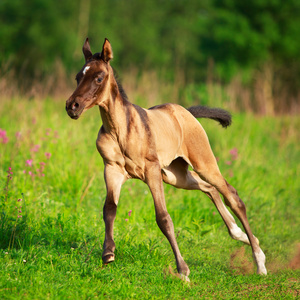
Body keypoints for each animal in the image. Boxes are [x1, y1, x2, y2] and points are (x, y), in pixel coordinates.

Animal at [66, 38, 268, 282]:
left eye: (98, 77)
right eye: (78, 77)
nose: (72, 106)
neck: (120, 130)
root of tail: (186, 112)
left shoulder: (151, 170)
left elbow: (163, 218)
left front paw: (183, 271)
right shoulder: (112, 169)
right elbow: (109, 209)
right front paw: (108, 253)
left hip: (202, 163)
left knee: (232, 195)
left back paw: (259, 261)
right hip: (175, 175)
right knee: (209, 188)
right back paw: (241, 235)